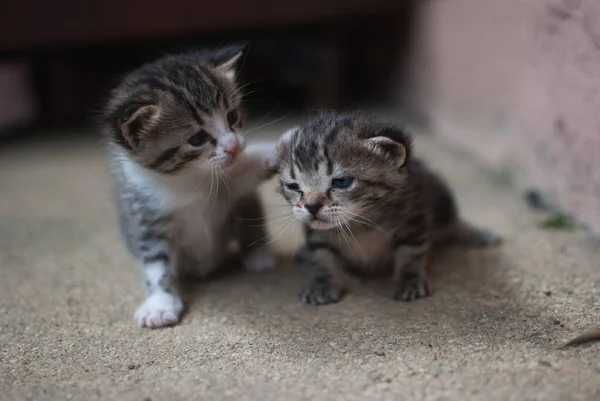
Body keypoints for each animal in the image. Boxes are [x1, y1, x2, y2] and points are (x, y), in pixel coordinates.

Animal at [101, 45, 278, 326]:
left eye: (232, 116)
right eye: (197, 138)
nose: (234, 146)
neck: (189, 178)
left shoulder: (229, 186)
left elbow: (248, 170)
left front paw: (283, 145)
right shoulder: (147, 217)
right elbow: (155, 262)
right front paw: (160, 303)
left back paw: (258, 255)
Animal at [274, 111, 500, 304]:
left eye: (342, 182)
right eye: (293, 186)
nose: (311, 206)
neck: (361, 222)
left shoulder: (413, 217)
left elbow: (411, 253)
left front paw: (409, 280)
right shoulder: (316, 232)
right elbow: (321, 255)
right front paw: (322, 283)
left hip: (440, 197)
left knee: (453, 221)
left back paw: (476, 234)